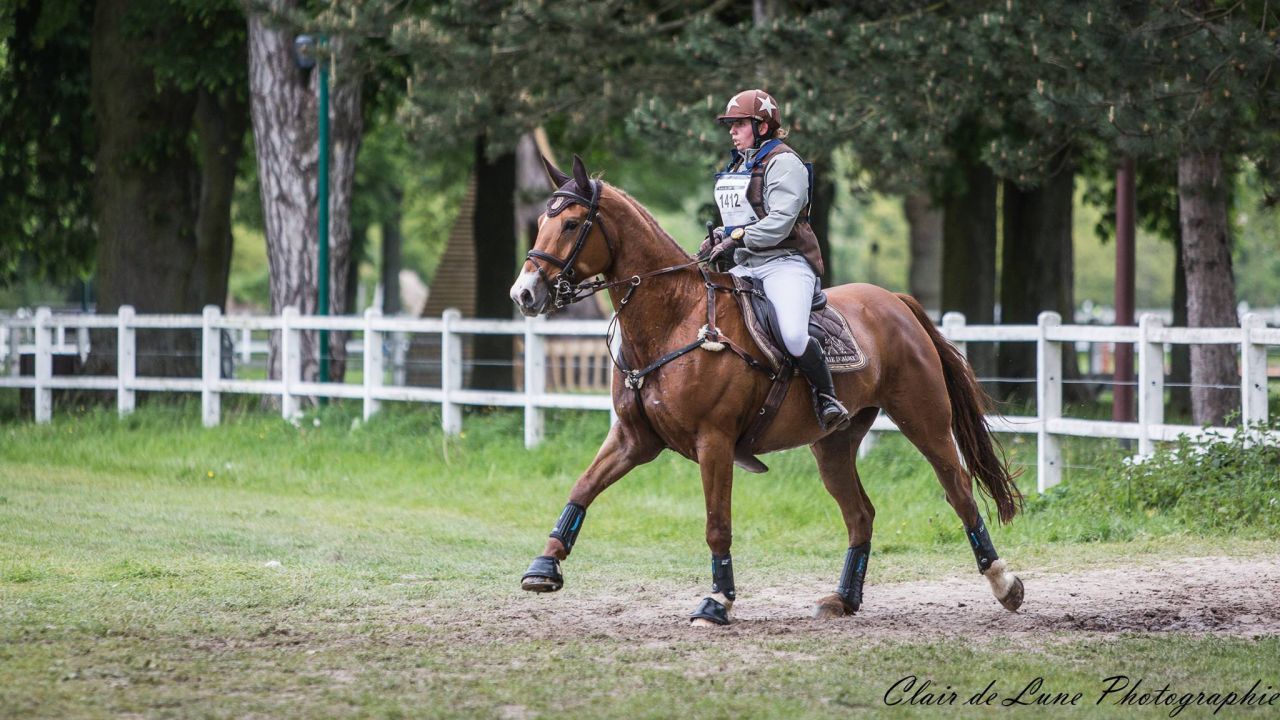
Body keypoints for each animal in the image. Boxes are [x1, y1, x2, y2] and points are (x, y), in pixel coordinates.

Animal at [509, 154, 1025, 626]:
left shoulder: (713, 442)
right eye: (541, 222)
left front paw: (717, 601)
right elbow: (583, 487)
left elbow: (717, 526)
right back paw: (844, 599)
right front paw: (544, 565)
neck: (675, 318)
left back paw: (1004, 583)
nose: (524, 294)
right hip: (833, 445)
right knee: (860, 514)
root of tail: (894, 302)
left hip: (925, 421)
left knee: (959, 491)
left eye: (571, 223)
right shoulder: (634, 439)